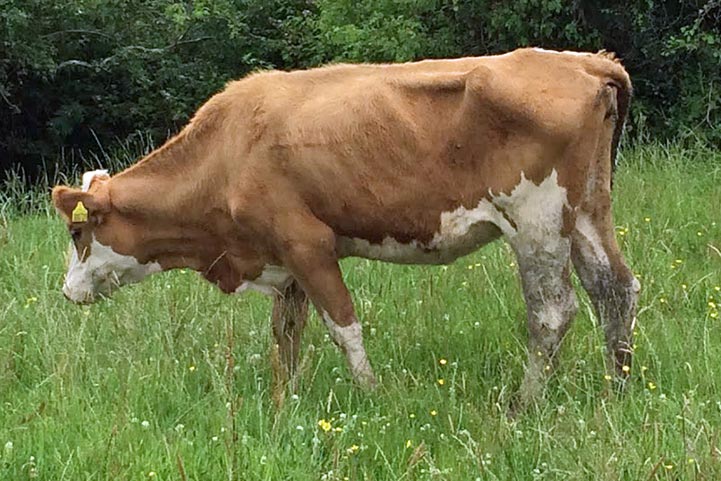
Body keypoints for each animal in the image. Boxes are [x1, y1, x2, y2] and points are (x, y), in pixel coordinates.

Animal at [50, 47, 636, 408]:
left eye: (77, 234)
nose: (67, 291)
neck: (228, 150)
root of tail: (581, 61)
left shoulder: (306, 243)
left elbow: (343, 326)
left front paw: (371, 394)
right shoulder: (283, 260)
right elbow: (286, 333)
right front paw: (284, 400)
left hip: (537, 221)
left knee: (553, 312)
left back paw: (522, 405)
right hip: (588, 210)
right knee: (616, 290)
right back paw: (617, 388)